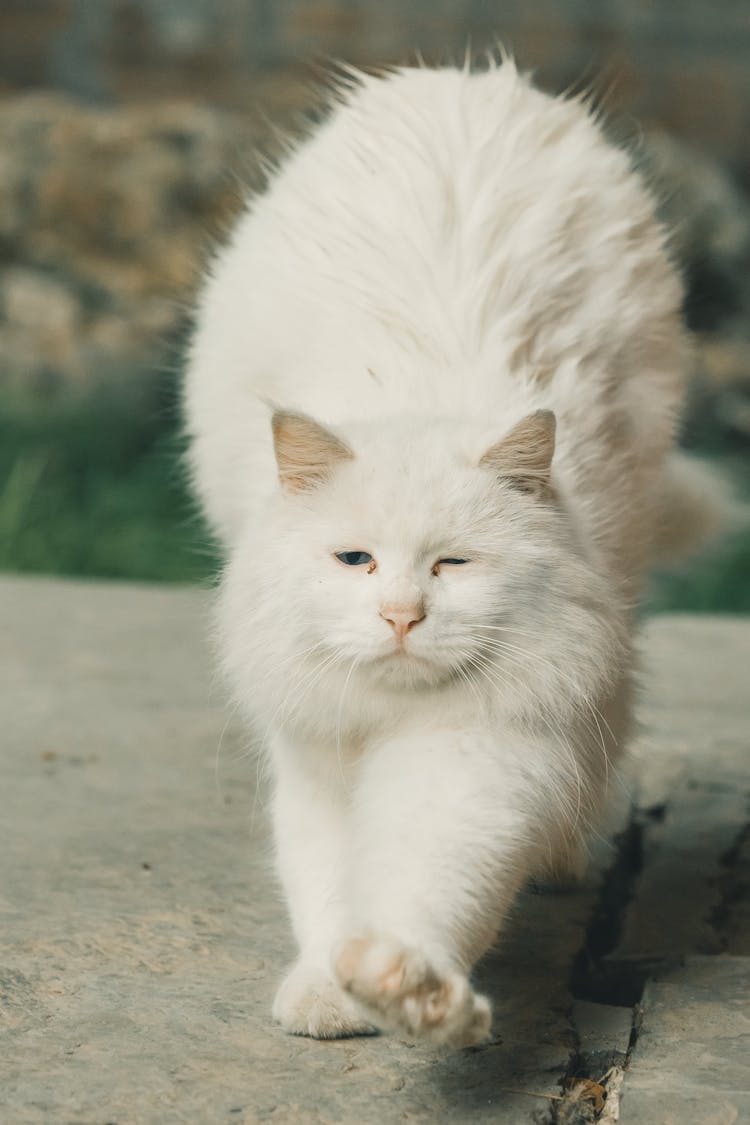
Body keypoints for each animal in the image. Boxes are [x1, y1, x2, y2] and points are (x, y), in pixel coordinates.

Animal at [183, 59, 719, 1044]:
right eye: (355, 561)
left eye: (452, 565)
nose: (401, 617)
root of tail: (467, 77)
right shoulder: (321, 755)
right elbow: (329, 883)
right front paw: (332, 990)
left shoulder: (479, 752)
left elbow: (425, 883)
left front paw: (410, 990)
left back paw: (562, 861)